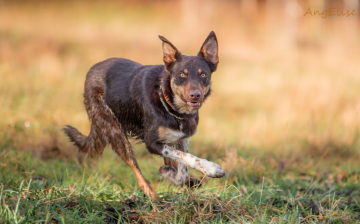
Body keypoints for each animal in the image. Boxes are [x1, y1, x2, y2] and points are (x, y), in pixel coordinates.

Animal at [62, 30, 225, 200]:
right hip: (114, 130)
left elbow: (181, 166)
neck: (171, 106)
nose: (195, 95)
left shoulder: (181, 138)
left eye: (203, 74)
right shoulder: (152, 142)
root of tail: (91, 70)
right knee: (135, 166)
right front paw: (211, 168)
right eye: (182, 74)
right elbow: (184, 157)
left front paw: (173, 174)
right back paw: (152, 196)